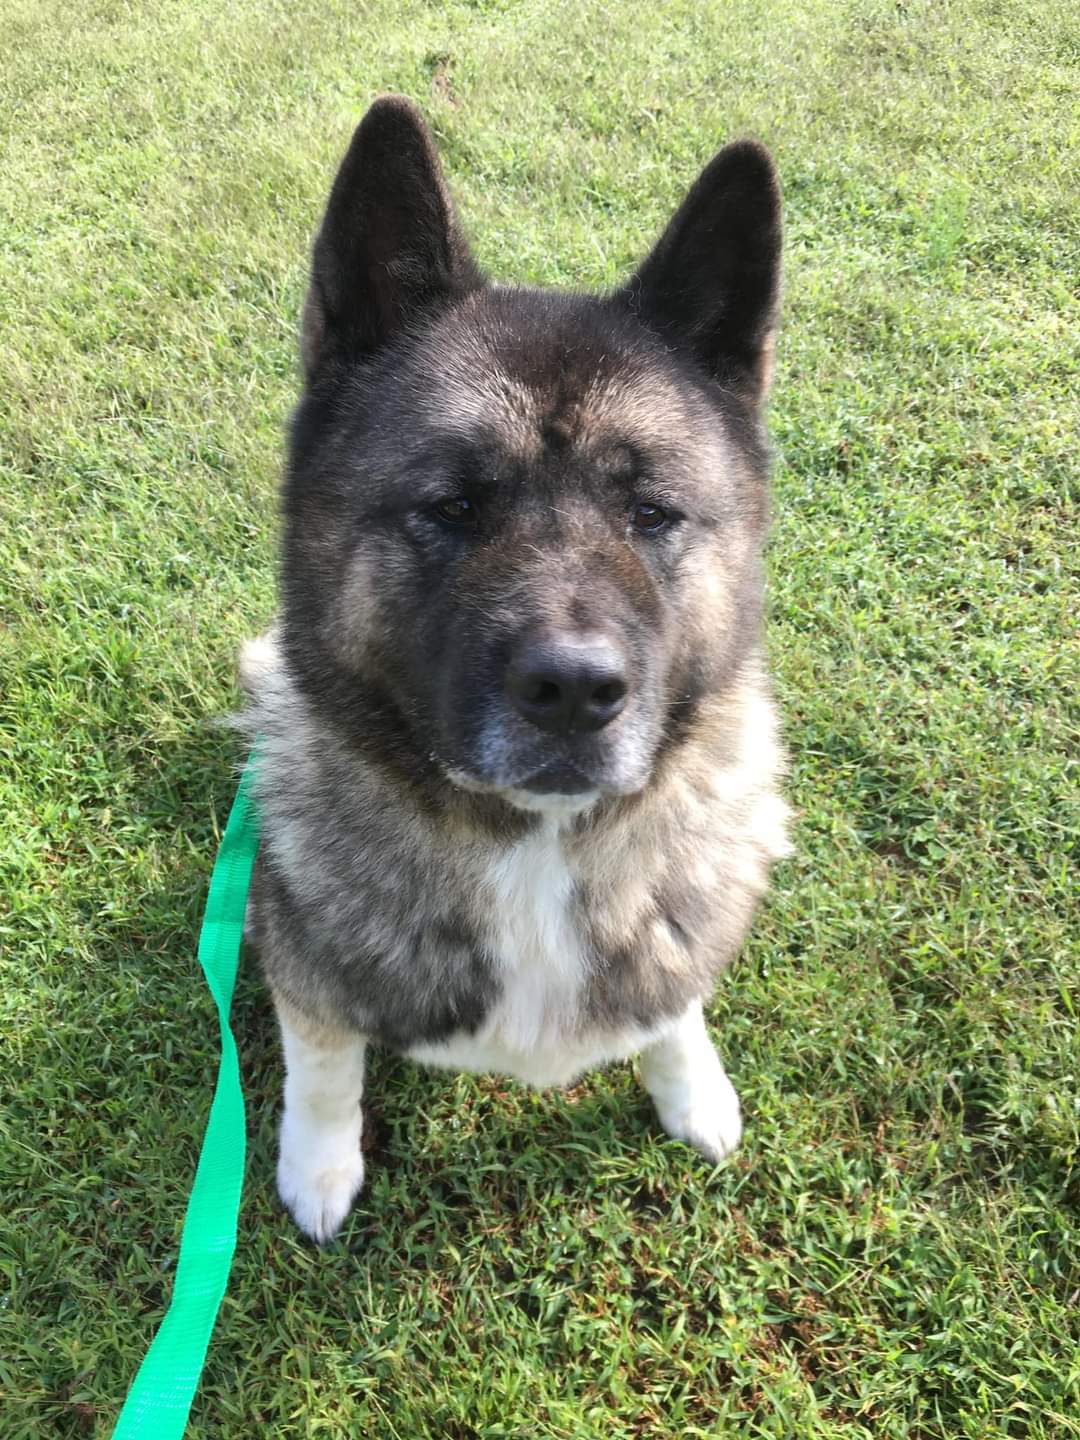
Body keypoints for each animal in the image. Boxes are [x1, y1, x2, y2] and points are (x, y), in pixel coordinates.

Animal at [240, 95, 789, 1244]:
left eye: (651, 513)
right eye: (452, 505)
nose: (575, 692)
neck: (537, 846)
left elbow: (674, 1006)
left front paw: (693, 1088)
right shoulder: (302, 966)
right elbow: (325, 1068)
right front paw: (320, 1164)